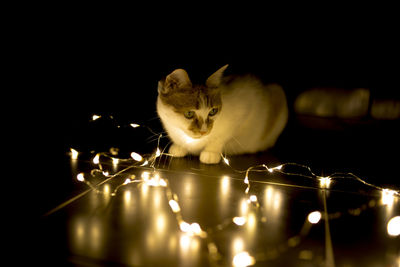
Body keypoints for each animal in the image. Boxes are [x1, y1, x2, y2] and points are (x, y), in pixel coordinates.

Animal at [156, 65, 288, 164]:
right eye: (189, 113)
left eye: (213, 111)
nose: (204, 131)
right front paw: (179, 146)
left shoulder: (245, 106)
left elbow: (221, 137)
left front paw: (211, 152)